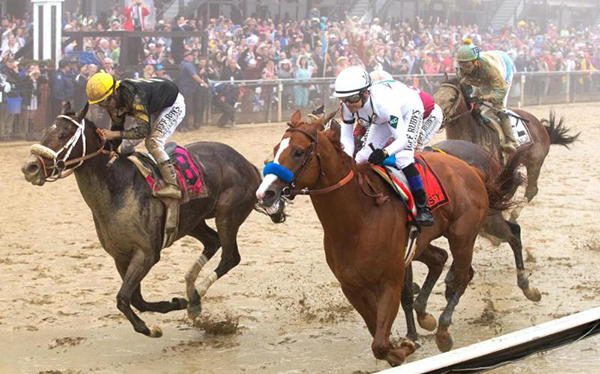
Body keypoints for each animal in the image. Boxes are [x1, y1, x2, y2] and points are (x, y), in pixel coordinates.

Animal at [255, 109, 524, 366]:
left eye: (298, 152)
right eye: (276, 150)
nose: (265, 193)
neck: (357, 220)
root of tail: (472, 170)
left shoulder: (390, 281)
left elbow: (381, 342)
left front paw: (407, 344)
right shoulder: (351, 286)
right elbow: (377, 333)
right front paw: (405, 345)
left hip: (465, 234)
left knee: (464, 274)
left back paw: (445, 330)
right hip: (424, 242)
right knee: (441, 258)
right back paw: (426, 316)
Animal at [434, 75, 580, 222]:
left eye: (452, 98)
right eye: (435, 96)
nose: (437, 118)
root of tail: (540, 125)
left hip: (535, 162)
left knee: (530, 189)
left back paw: (513, 215)